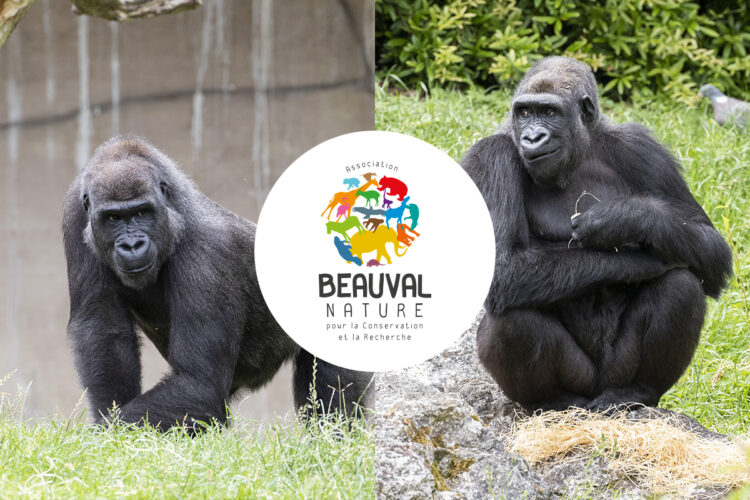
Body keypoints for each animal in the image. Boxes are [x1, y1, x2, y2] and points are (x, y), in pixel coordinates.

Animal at [62, 137, 374, 430]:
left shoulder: (208, 251)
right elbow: (104, 330)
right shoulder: (74, 213)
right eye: (114, 218)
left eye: (142, 213)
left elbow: (200, 385)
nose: (131, 245)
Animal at [464, 56, 736, 412]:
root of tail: (596, 398)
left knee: (682, 285)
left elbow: (711, 249)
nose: (532, 138)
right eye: (524, 113)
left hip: (614, 375)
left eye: (548, 112)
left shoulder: (642, 148)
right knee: (511, 318)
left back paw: (636, 392)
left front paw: (626, 218)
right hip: (581, 381)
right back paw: (552, 400)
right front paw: (641, 261)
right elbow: (505, 267)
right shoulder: (489, 156)